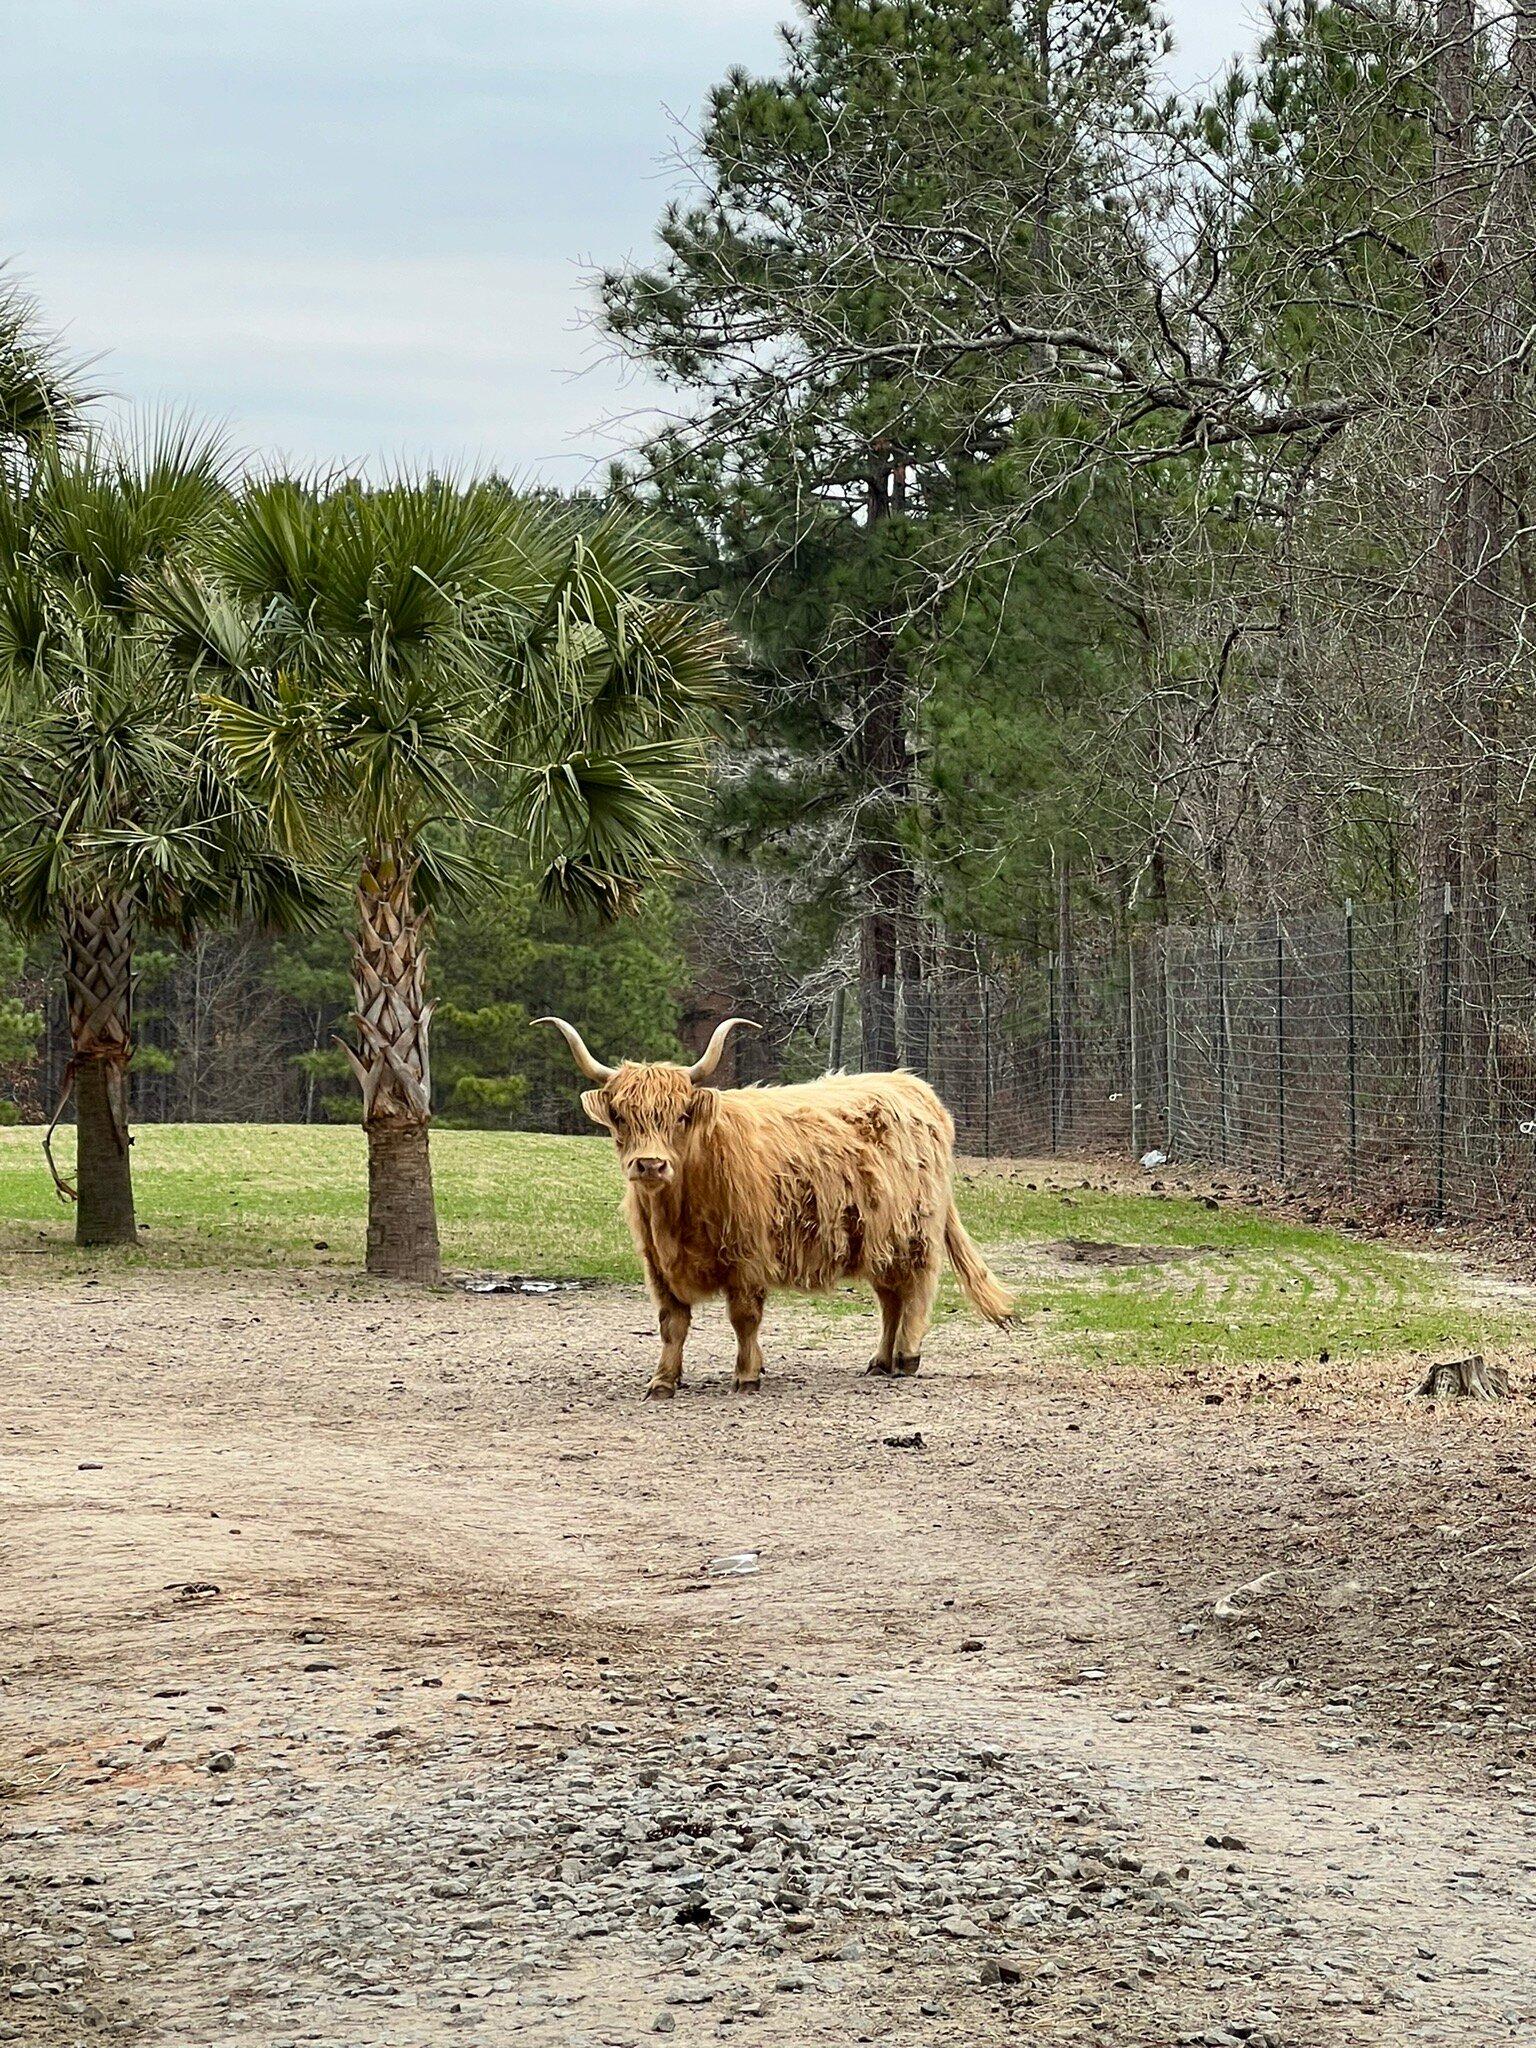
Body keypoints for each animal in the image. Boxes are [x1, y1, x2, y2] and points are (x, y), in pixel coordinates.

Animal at [536, 1015, 1015, 1400]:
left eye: (682, 1116)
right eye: (619, 1117)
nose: (650, 1164)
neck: (678, 1212)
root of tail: (912, 1084)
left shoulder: (747, 1256)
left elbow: (744, 1317)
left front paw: (747, 1376)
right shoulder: (657, 1265)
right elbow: (672, 1322)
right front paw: (663, 1381)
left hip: (915, 1230)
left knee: (917, 1288)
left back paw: (908, 1357)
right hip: (876, 1236)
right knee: (889, 1297)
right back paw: (881, 1360)